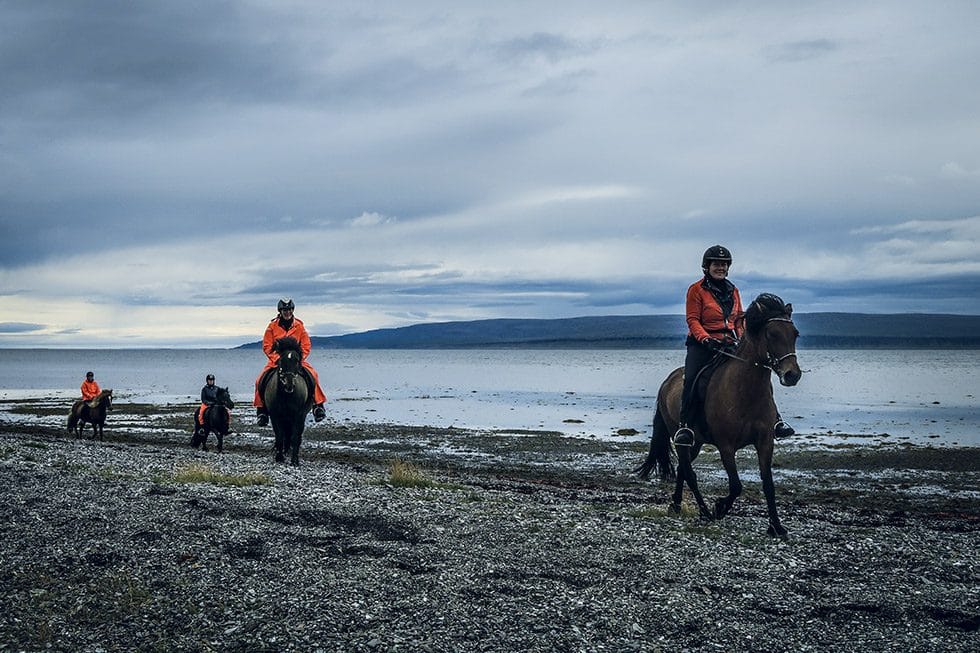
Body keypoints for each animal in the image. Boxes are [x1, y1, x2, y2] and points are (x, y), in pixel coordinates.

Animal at [264, 336, 314, 464]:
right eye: (281, 360)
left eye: (297, 361)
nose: (289, 385)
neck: (286, 395)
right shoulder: (275, 415)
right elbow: (279, 435)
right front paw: (279, 457)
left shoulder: (299, 415)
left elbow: (295, 436)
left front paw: (294, 460)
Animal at [636, 292, 804, 536]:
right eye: (771, 334)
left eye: (795, 334)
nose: (792, 375)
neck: (746, 392)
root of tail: (667, 382)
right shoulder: (726, 446)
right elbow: (736, 485)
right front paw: (719, 507)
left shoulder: (765, 442)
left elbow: (768, 484)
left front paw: (776, 526)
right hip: (681, 439)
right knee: (689, 473)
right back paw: (704, 511)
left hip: (696, 442)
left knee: (681, 470)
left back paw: (676, 504)